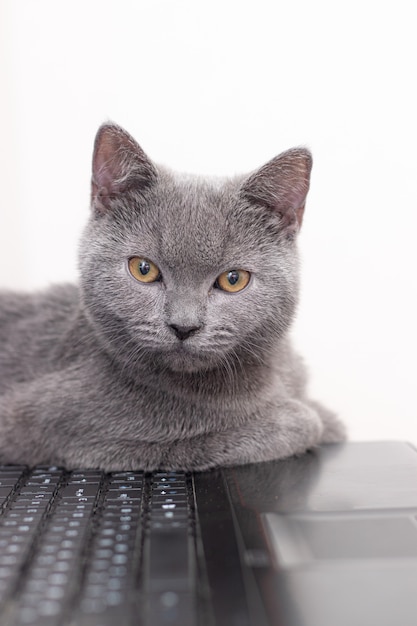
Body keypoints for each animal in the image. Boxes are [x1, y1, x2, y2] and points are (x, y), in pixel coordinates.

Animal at [0, 123, 344, 468]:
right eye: (143, 269)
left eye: (233, 279)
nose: (184, 326)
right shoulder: (81, 439)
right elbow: (207, 438)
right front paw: (307, 418)